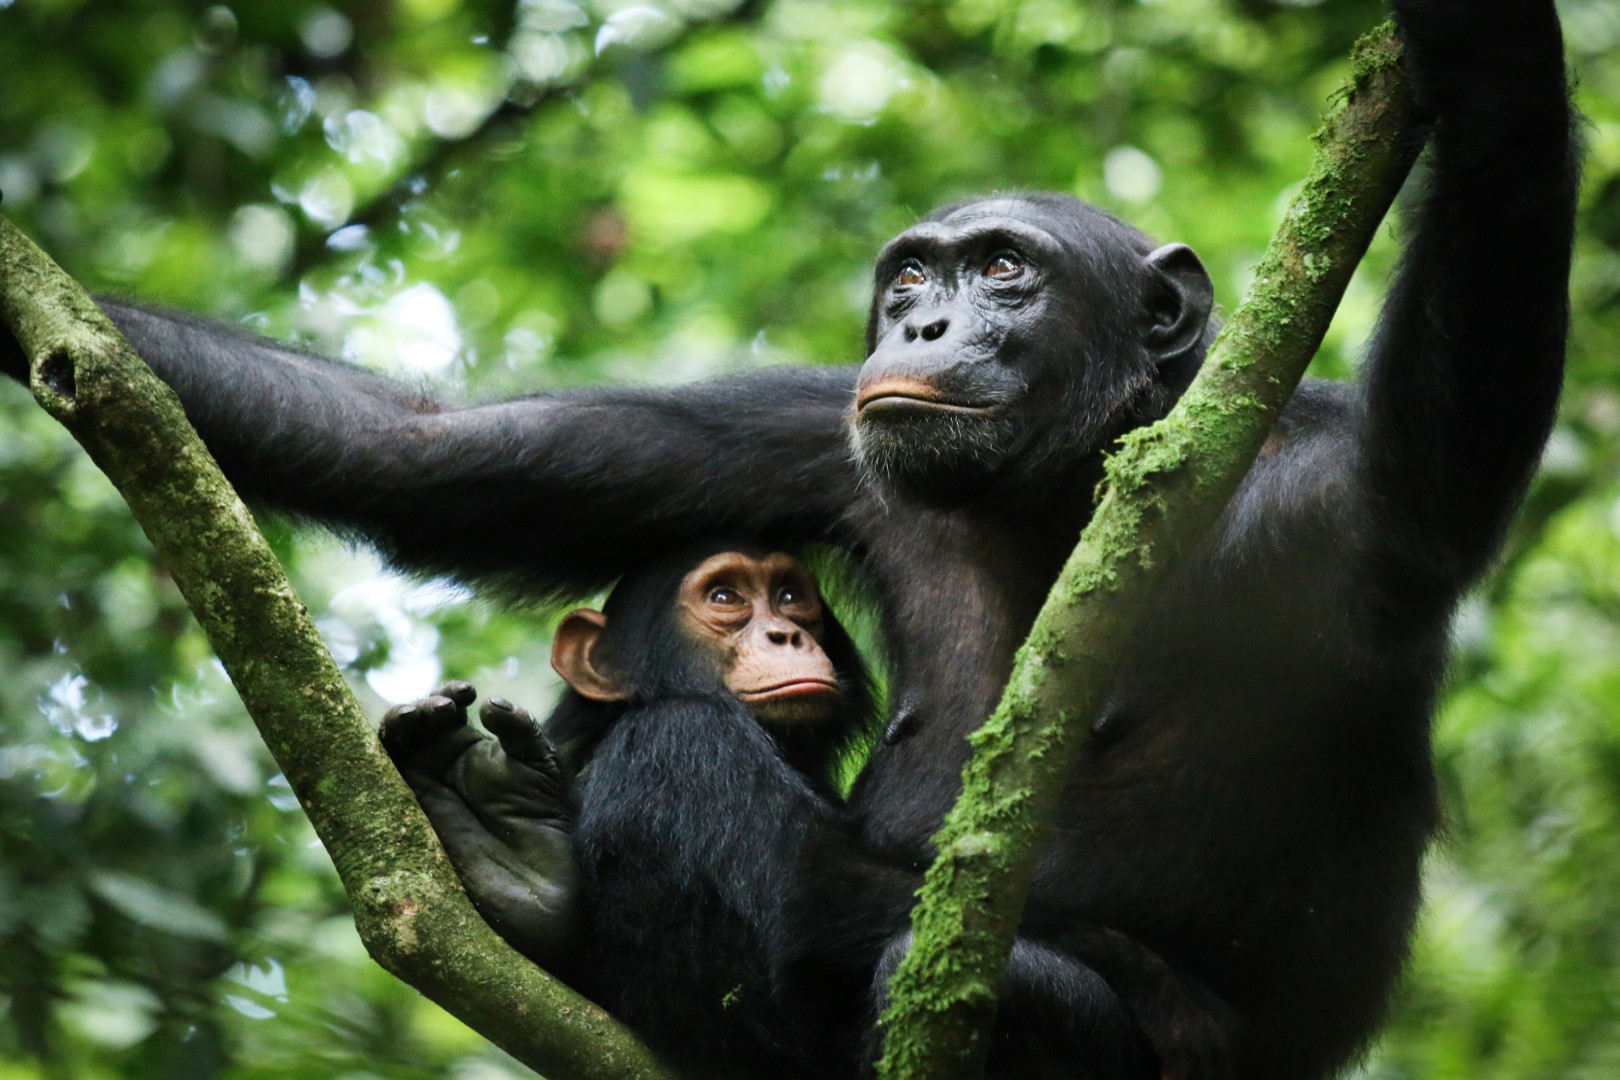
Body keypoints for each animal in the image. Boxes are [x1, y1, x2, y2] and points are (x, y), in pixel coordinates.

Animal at [0, 4, 1568, 1075]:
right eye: (913, 279)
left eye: (1007, 271)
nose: (922, 326)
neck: (1072, 483)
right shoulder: (818, 435)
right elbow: (431, 453)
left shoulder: (1340, 500)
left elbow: (1468, 374)